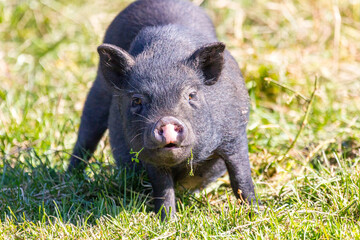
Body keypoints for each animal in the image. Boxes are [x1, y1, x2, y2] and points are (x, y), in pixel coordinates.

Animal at [69, 0, 258, 218]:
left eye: (191, 95)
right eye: (136, 100)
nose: (166, 122)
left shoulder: (235, 134)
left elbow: (241, 178)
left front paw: (256, 212)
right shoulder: (149, 155)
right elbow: (163, 188)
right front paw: (168, 220)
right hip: (98, 90)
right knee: (86, 136)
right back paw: (70, 177)